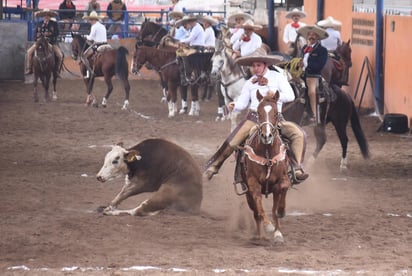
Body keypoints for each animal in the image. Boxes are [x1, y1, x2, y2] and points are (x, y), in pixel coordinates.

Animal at [241, 91, 290, 244]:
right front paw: (268, 226)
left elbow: (278, 205)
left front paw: (278, 231)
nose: (266, 136)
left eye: (275, 113)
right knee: (256, 213)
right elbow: (259, 206)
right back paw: (258, 235)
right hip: (247, 193)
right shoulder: (252, 183)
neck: (268, 153)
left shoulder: (282, 180)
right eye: (258, 112)